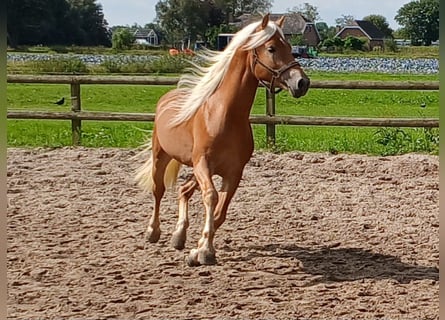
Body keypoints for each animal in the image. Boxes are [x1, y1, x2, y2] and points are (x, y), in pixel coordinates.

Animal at [134, 13, 308, 266]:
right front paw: (205, 250)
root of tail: (167, 97)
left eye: (291, 47)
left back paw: (178, 236)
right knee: (159, 191)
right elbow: (211, 197)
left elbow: (220, 211)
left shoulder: (233, 172)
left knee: (184, 189)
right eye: (272, 48)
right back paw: (153, 232)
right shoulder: (204, 165)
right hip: (162, 157)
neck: (223, 115)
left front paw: (198, 250)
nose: (302, 83)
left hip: (197, 170)